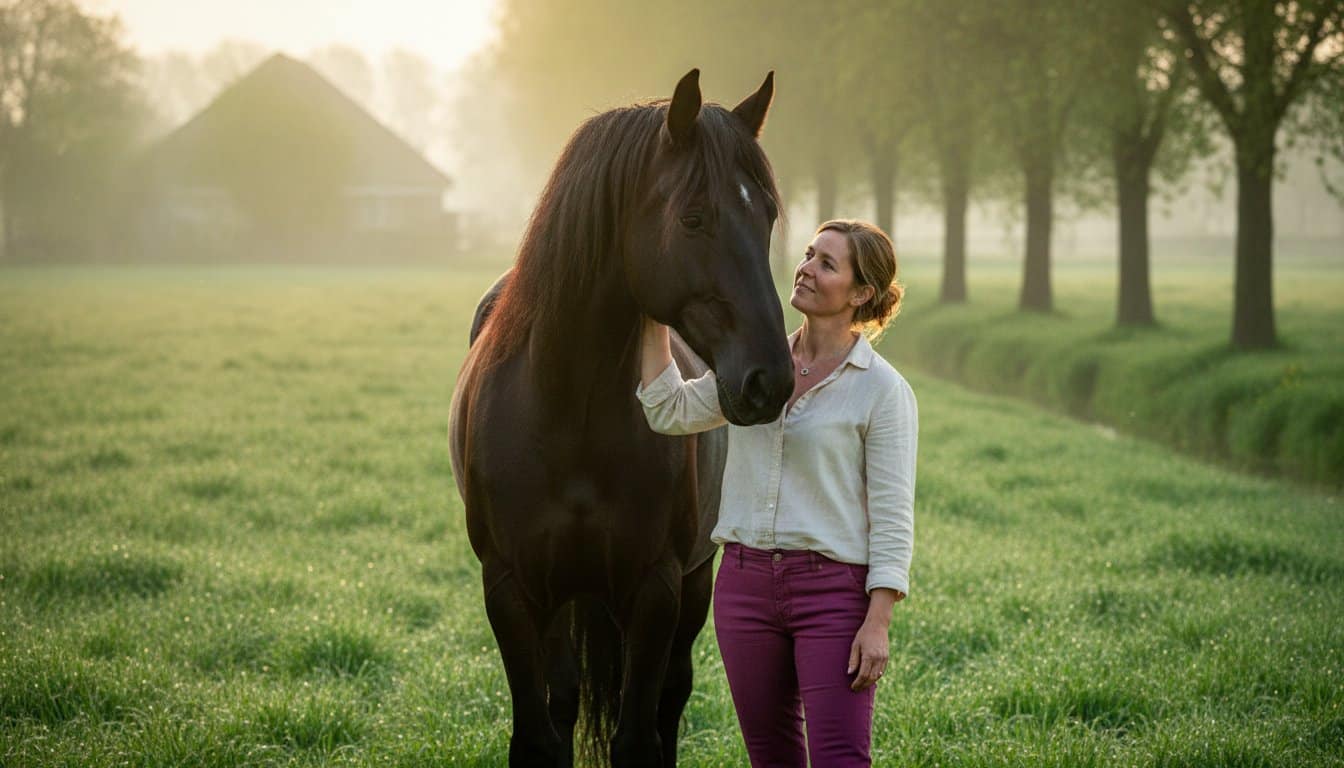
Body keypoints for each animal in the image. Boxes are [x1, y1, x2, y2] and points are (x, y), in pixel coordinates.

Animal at [449, 69, 792, 767]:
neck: (568, 412)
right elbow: (538, 736)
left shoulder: (656, 589)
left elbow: (639, 736)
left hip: (690, 584)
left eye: (768, 215)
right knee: (564, 695)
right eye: (693, 217)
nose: (769, 379)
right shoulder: (509, 590)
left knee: (669, 699)